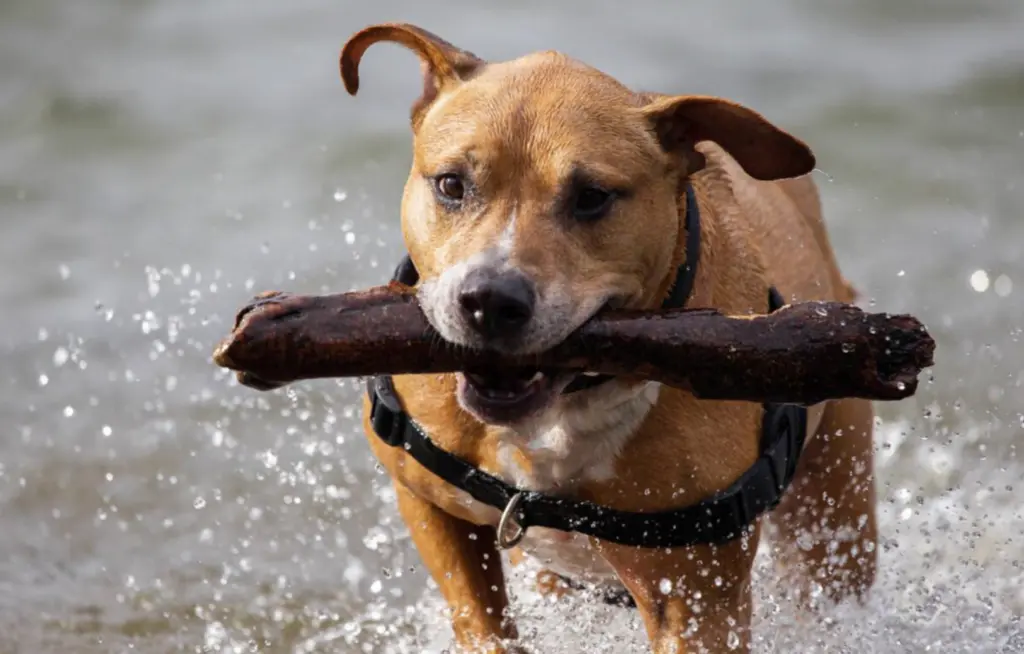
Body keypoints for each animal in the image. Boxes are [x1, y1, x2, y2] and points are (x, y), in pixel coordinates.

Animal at [339, 23, 876, 650]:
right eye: (451, 184)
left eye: (591, 197)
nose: (490, 300)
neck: (567, 404)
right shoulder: (426, 501)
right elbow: (481, 619)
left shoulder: (696, 592)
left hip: (836, 499)